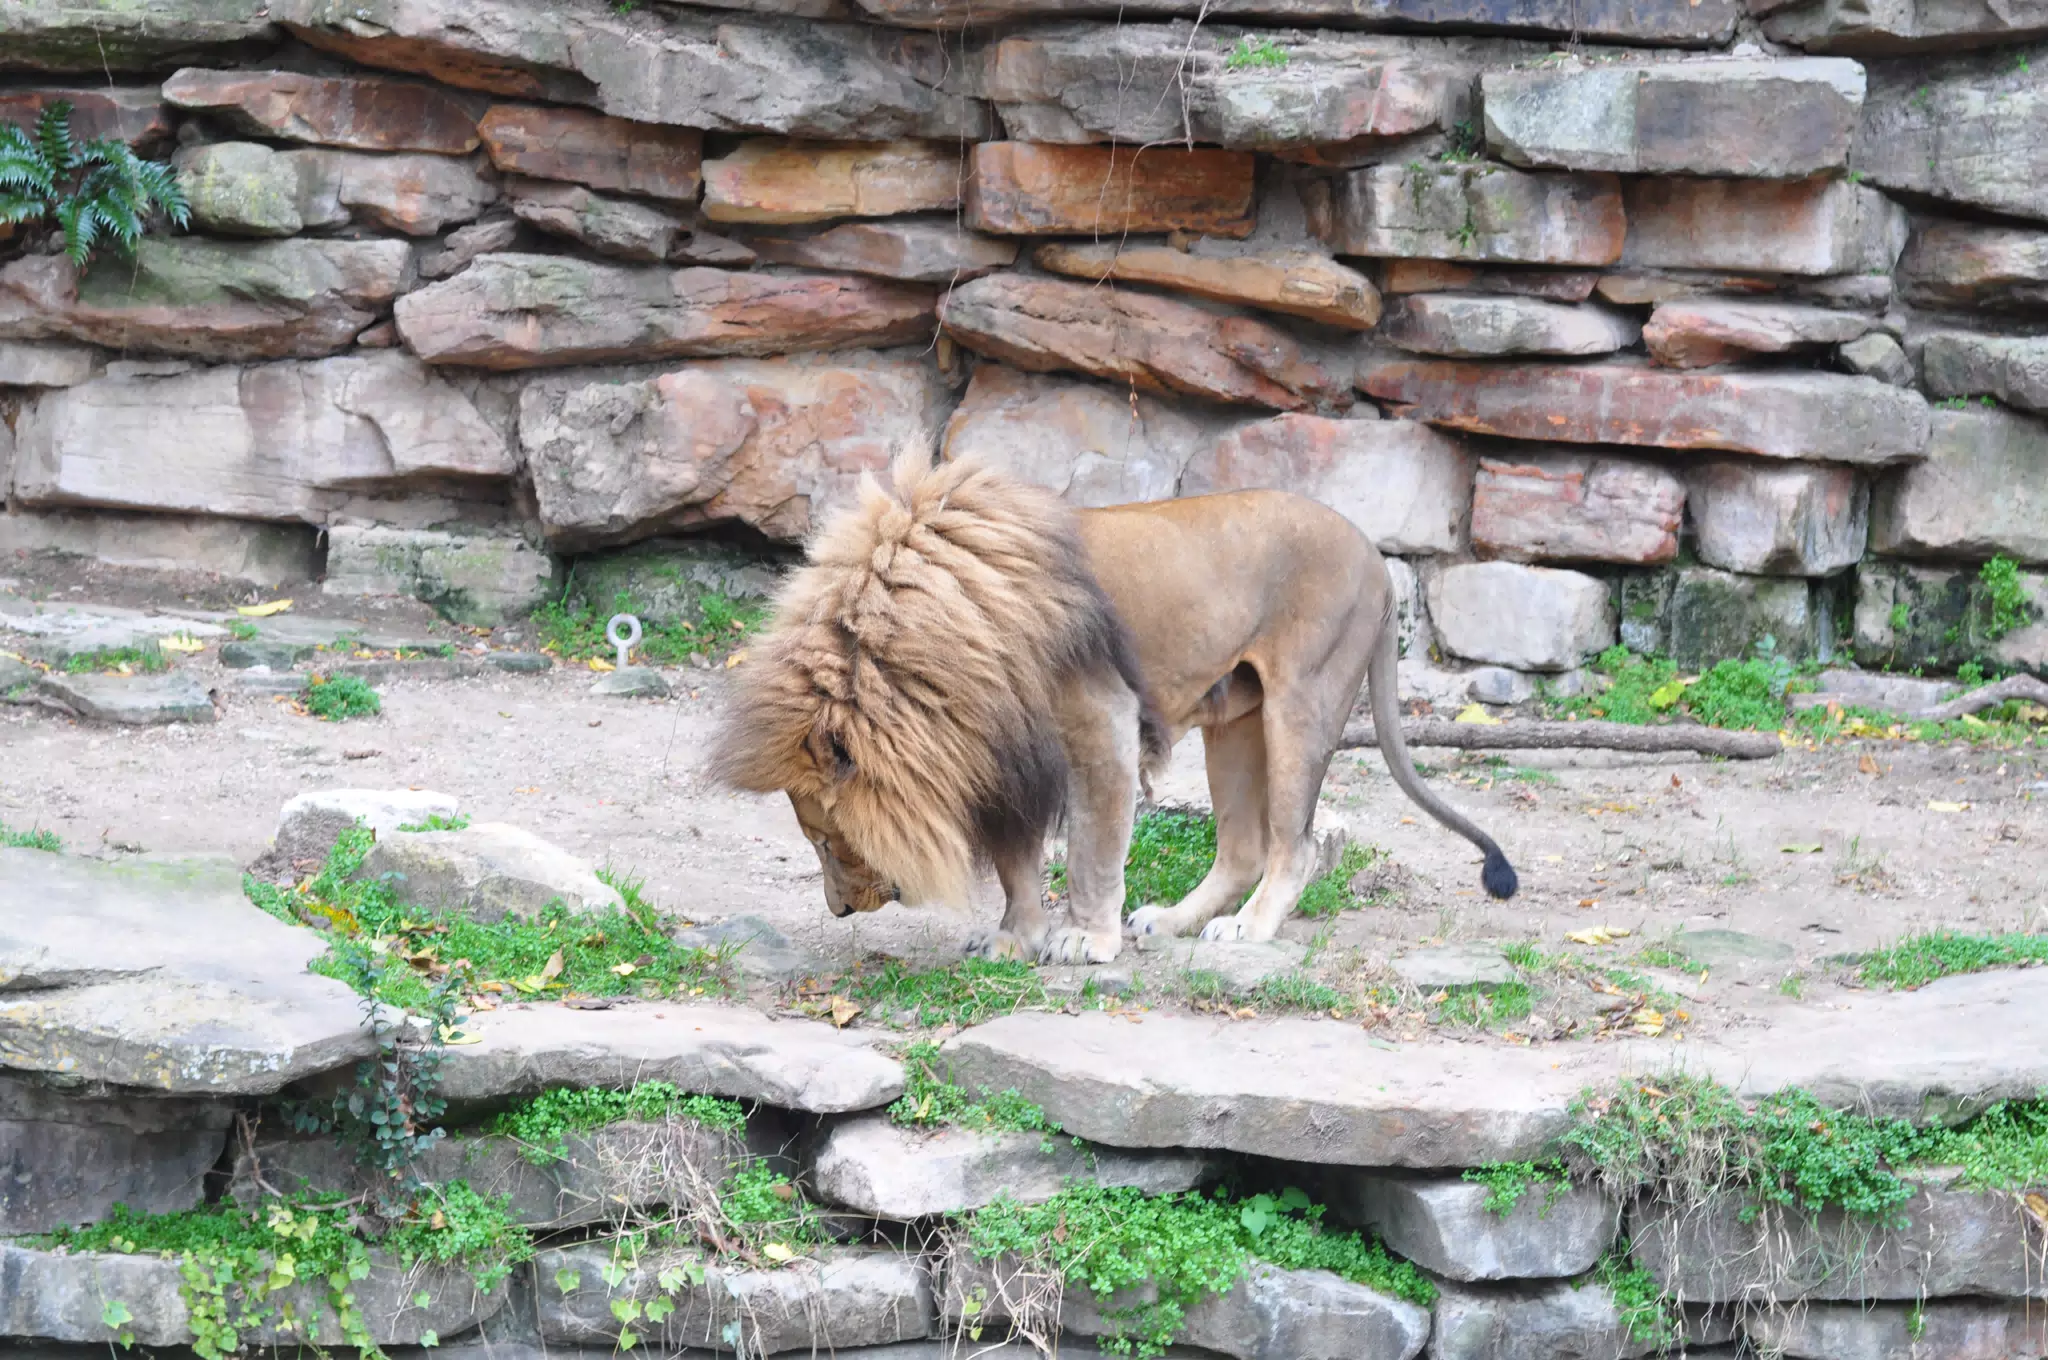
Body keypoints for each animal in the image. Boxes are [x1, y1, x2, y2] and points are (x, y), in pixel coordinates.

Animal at [710, 453, 1516, 964]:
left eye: (824, 839)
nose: (839, 911)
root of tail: (1377, 557)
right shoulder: (1003, 754)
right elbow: (1016, 864)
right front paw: (1014, 938)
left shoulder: (1100, 723)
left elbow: (1094, 850)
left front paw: (1084, 940)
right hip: (1234, 723)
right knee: (1243, 847)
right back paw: (1172, 922)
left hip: (1302, 702)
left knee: (1297, 846)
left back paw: (1248, 930)